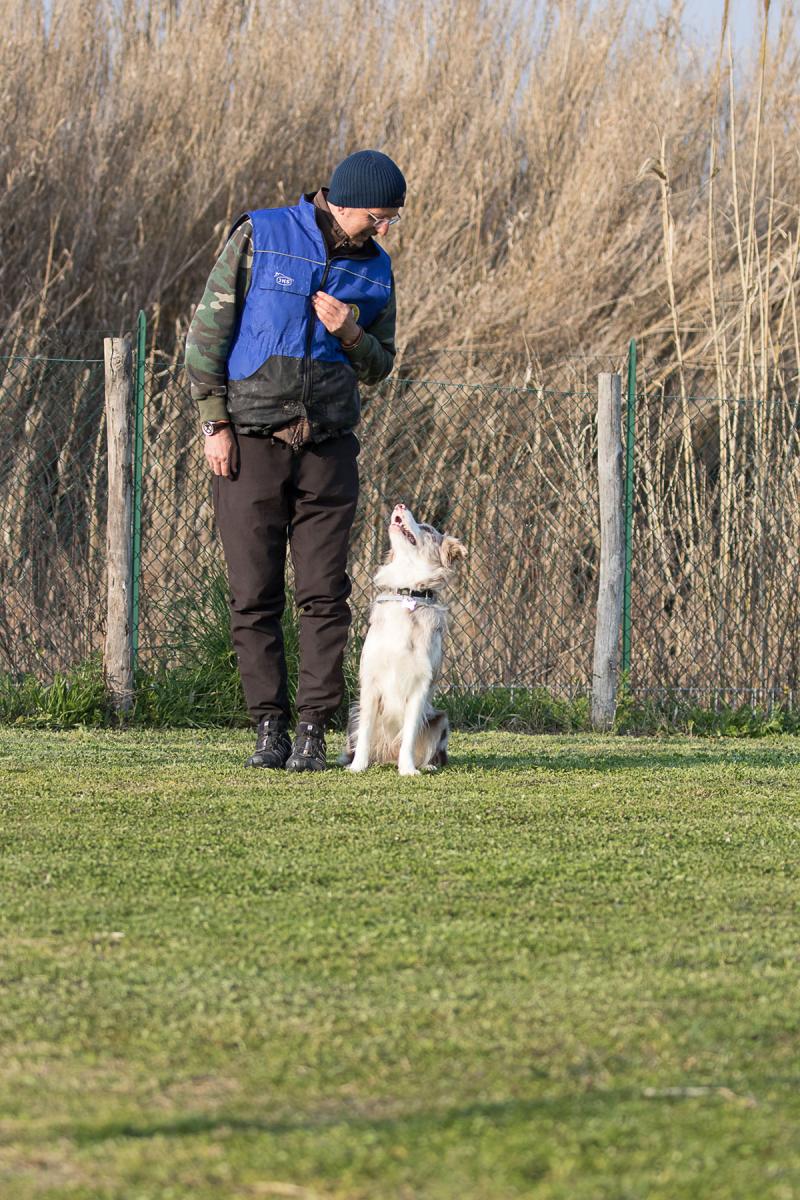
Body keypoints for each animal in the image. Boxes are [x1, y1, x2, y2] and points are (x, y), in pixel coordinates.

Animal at [341, 503, 467, 776]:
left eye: (427, 528)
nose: (400, 505)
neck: (408, 593)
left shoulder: (420, 685)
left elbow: (409, 734)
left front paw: (407, 769)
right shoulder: (370, 682)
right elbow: (365, 731)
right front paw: (357, 766)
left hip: (440, 719)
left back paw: (426, 764)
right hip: (353, 710)